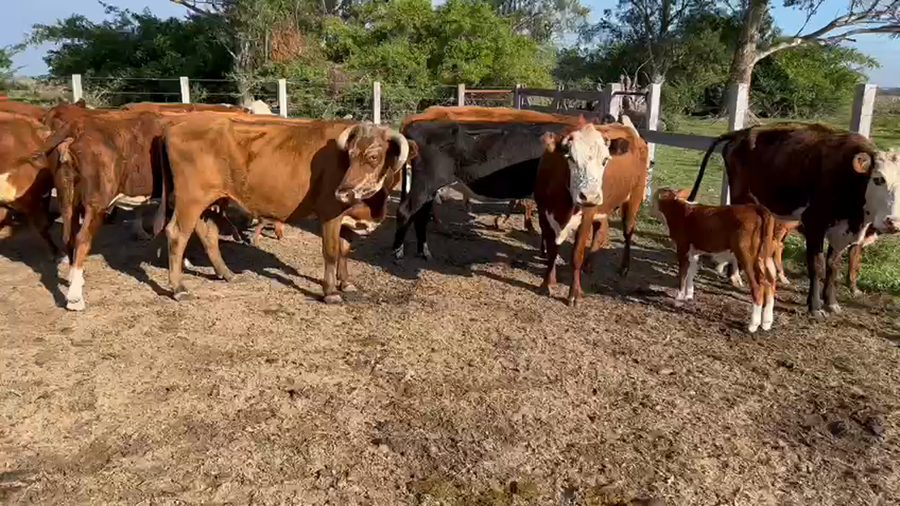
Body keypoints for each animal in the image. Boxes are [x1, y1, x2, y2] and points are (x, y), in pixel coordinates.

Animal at [162, 115, 411, 303]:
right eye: (349, 155)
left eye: (373, 156)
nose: (343, 192)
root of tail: (176, 126)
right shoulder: (330, 214)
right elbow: (331, 252)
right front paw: (330, 292)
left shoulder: (348, 221)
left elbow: (344, 250)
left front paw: (346, 283)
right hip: (190, 199)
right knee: (177, 234)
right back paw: (178, 288)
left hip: (212, 202)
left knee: (209, 235)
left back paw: (227, 274)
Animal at [395, 106, 583, 260]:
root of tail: (415, 123)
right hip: (425, 184)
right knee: (406, 211)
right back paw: (399, 251)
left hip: (426, 188)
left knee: (420, 214)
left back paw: (424, 251)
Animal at [533, 116, 648, 306]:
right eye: (570, 157)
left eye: (605, 160)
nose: (590, 196)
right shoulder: (544, 214)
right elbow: (551, 251)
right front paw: (547, 283)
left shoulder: (585, 217)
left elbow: (576, 255)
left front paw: (574, 293)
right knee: (601, 230)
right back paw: (590, 263)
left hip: (633, 200)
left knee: (628, 232)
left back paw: (624, 266)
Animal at [651, 188, 778, 333]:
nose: (650, 204)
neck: (678, 210)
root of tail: (756, 208)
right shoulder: (694, 252)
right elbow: (691, 273)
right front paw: (689, 295)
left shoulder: (682, 249)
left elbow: (682, 275)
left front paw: (678, 299)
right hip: (765, 257)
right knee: (770, 283)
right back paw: (766, 322)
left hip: (747, 256)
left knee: (758, 286)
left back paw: (753, 325)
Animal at [687, 122, 900, 317]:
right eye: (878, 179)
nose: (893, 222)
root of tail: (743, 131)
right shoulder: (814, 224)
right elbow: (817, 266)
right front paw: (815, 306)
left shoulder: (841, 231)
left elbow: (833, 266)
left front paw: (831, 302)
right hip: (741, 197)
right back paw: (734, 276)